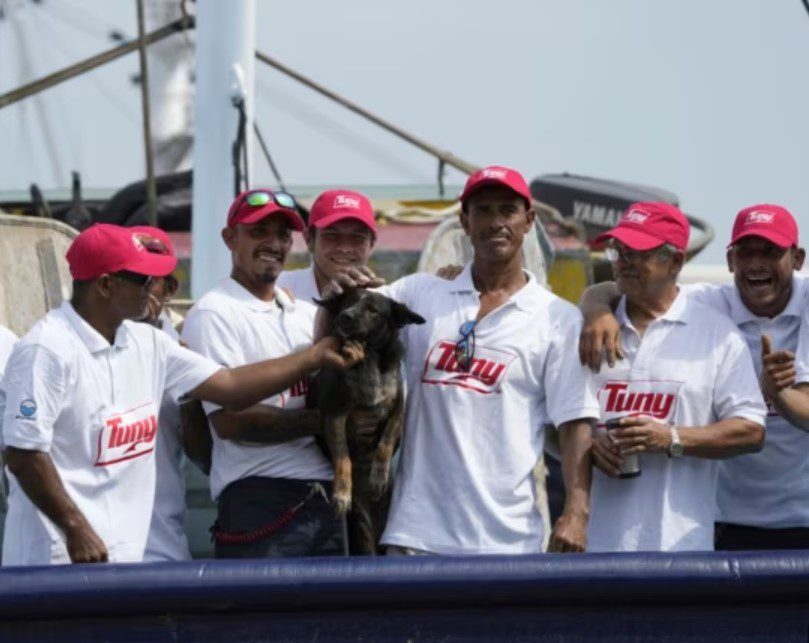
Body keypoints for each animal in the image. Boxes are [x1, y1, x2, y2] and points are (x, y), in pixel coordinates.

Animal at [308, 290, 422, 552]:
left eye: (373, 309)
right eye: (347, 302)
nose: (344, 316)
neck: (368, 356)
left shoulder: (397, 410)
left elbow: (385, 443)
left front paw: (378, 476)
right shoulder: (335, 415)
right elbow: (343, 458)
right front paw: (341, 494)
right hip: (363, 530)